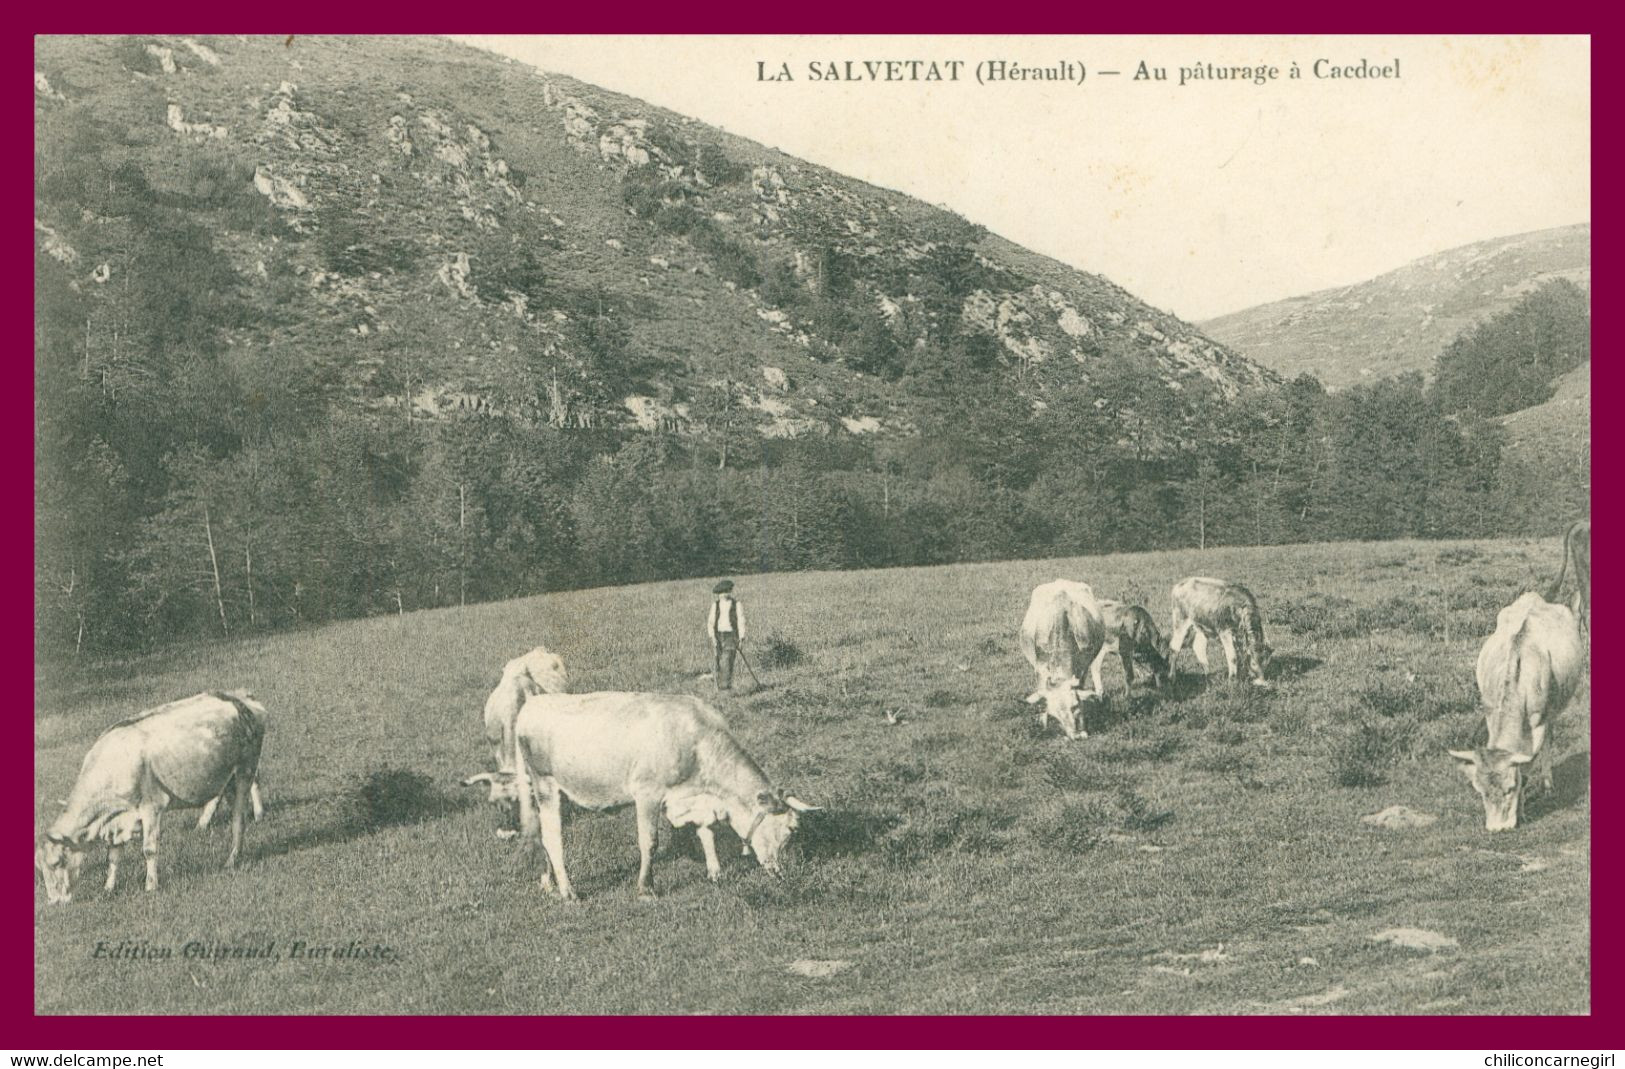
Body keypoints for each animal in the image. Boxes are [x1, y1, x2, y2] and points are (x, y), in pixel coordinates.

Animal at [1014, 578, 1105, 737]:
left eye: (1074, 706)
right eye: (1055, 716)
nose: (1075, 736)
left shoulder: (1082, 667)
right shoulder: (1040, 669)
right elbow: (1042, 692)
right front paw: (1043, 722)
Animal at [1449, 591, 1586, 825]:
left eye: (1510, 787)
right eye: (1480, 791)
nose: (1497, 828)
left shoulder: (1538, 722)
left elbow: (1529, 764)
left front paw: (1522, 809)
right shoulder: (1490, 713)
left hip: (1551, 709)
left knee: (1549, 739)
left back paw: (1547, 783)